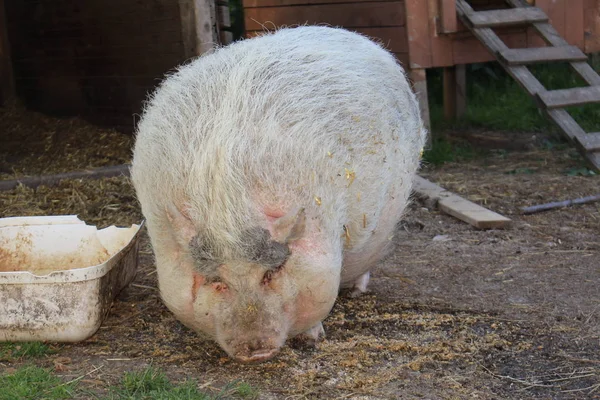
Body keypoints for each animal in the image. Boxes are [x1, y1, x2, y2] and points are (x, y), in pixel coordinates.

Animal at [131, 24, 426, 362]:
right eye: (217, 281)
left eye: (270, 273)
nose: (255, 351)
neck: (226, 208)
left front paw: (313, 339)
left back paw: (356, 289)